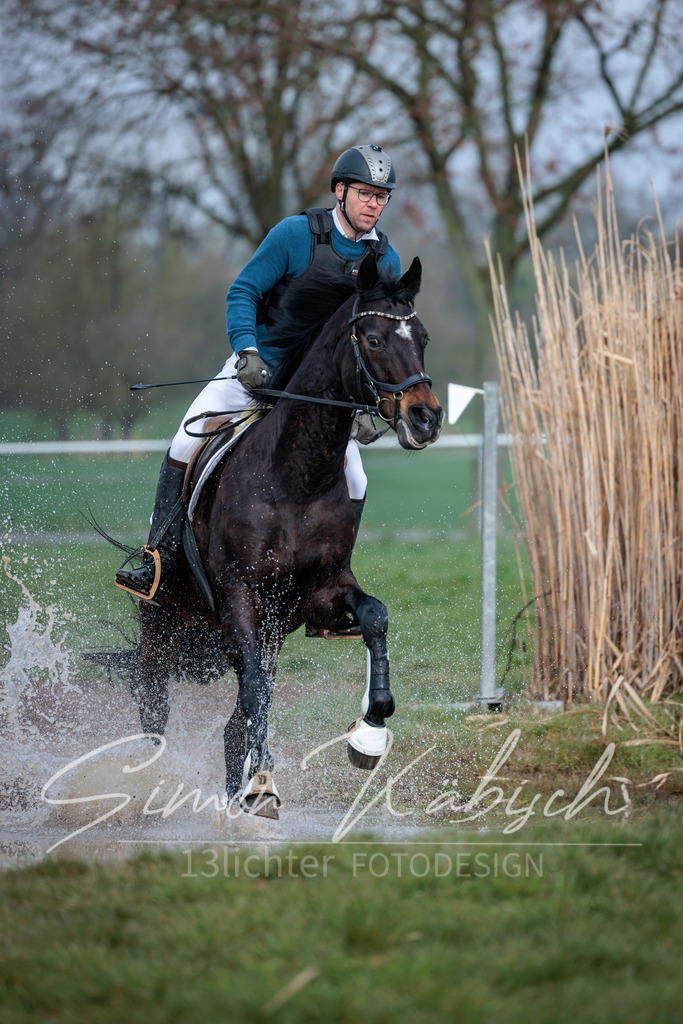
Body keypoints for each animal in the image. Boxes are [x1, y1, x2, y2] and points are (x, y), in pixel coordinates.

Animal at [129, 253, 443, 818]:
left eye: (423, 336)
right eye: (375, 339)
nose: (425, 417)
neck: (296, 477)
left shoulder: (320, 592)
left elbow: (376, 617)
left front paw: (369, 733)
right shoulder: (238, 595)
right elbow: (255, 690)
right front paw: (264, 782)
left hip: (269, 631)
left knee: (235, 723)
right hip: (162, 624)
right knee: (156, 710)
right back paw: (158, 782)